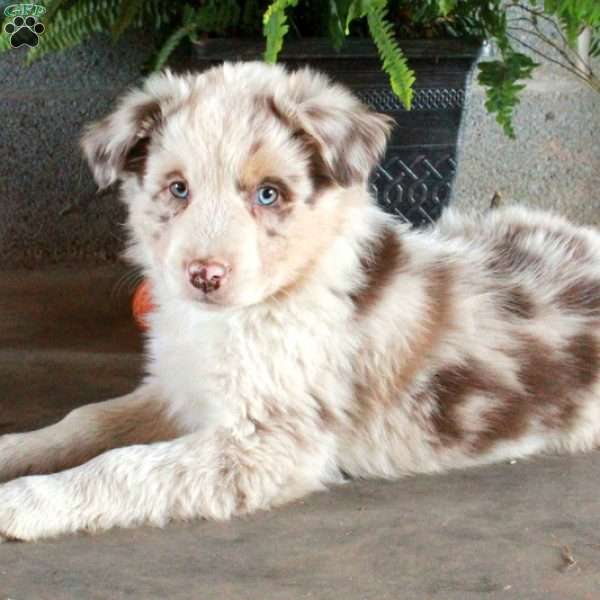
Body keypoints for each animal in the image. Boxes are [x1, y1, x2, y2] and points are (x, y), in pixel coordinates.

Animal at [1, 63, 600, 540]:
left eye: (268, 194)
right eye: (178, 189)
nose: (204, 276)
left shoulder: (267, 444)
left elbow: (123, 465)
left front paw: (25, 500)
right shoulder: (177, 387)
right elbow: (88, 420)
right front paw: (12, 450)